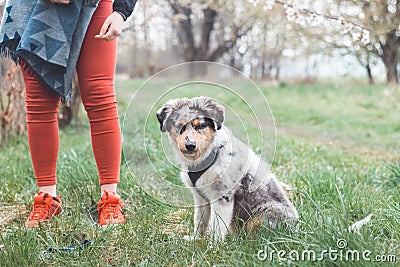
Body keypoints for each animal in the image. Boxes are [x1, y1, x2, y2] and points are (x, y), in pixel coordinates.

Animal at [155, 97, 296, 242]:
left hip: (262, 217)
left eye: (201, 126)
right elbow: (199, 220)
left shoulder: (222, 197)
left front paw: (214, 246)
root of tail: (296, 230)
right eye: (179, 126)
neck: (206, 156)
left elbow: (217, 227)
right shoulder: (200, 198)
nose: (190, 146)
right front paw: (195, 240)